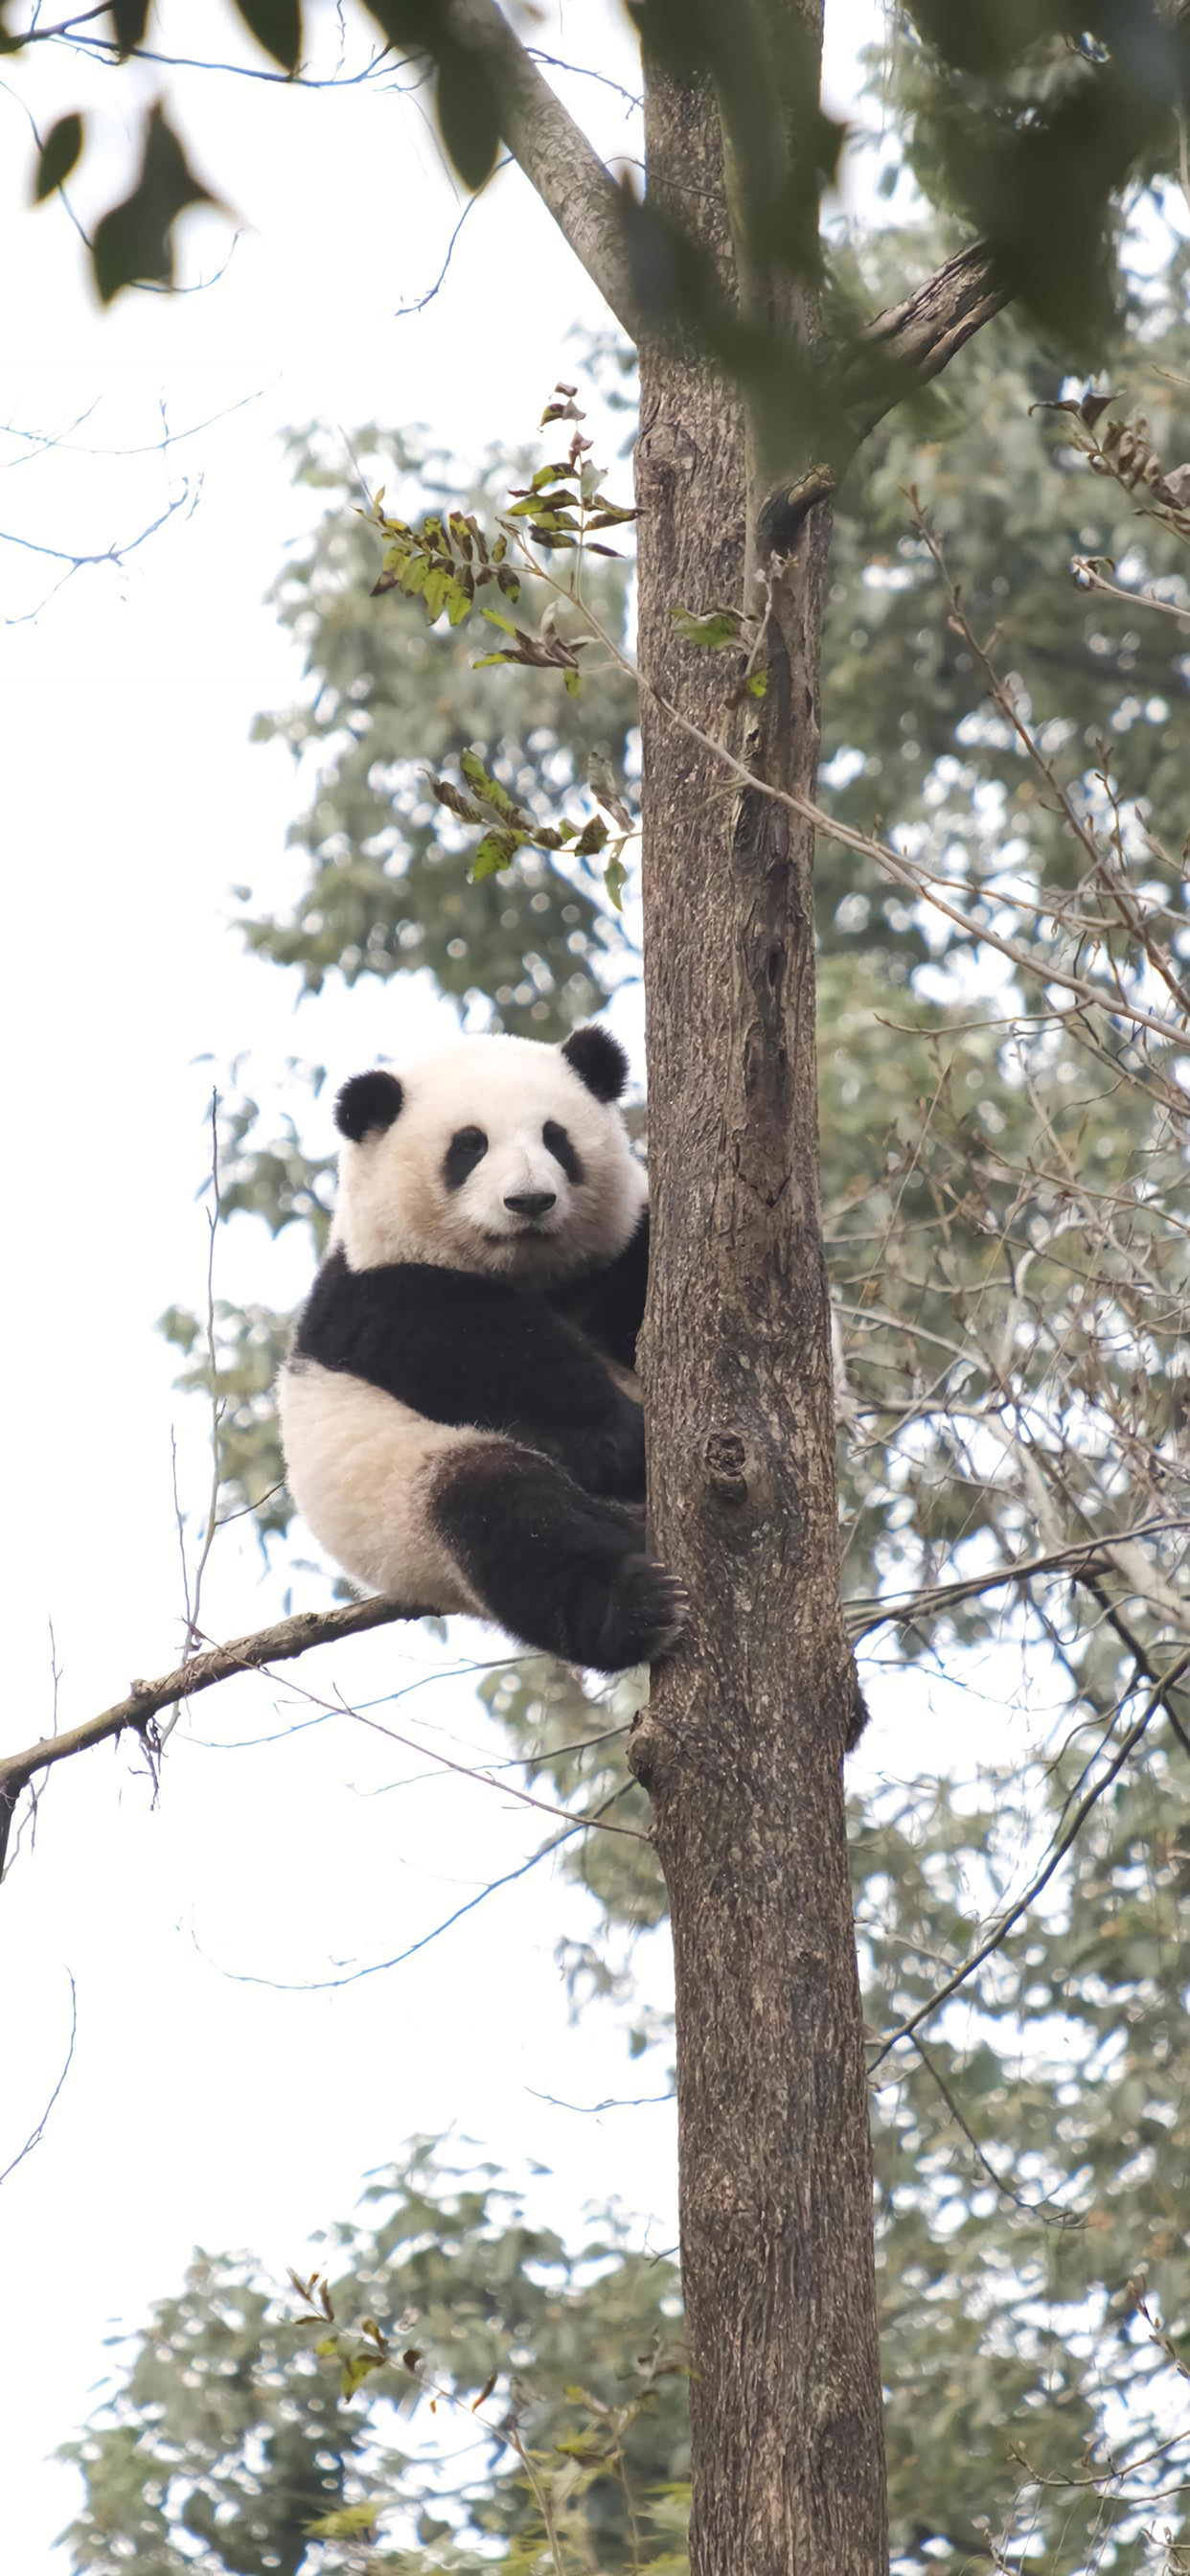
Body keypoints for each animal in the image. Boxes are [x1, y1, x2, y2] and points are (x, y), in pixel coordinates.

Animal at [279, 1024, 690, 1668]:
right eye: (469, 1145)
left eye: (555, 1137)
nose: (529, 1201)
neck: (525, 1269)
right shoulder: (377, 1294)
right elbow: (496, 1354)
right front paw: (622, 1440)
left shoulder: (620, 1251)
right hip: (415, 1500)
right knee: (508, 1517)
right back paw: (635, 1606)